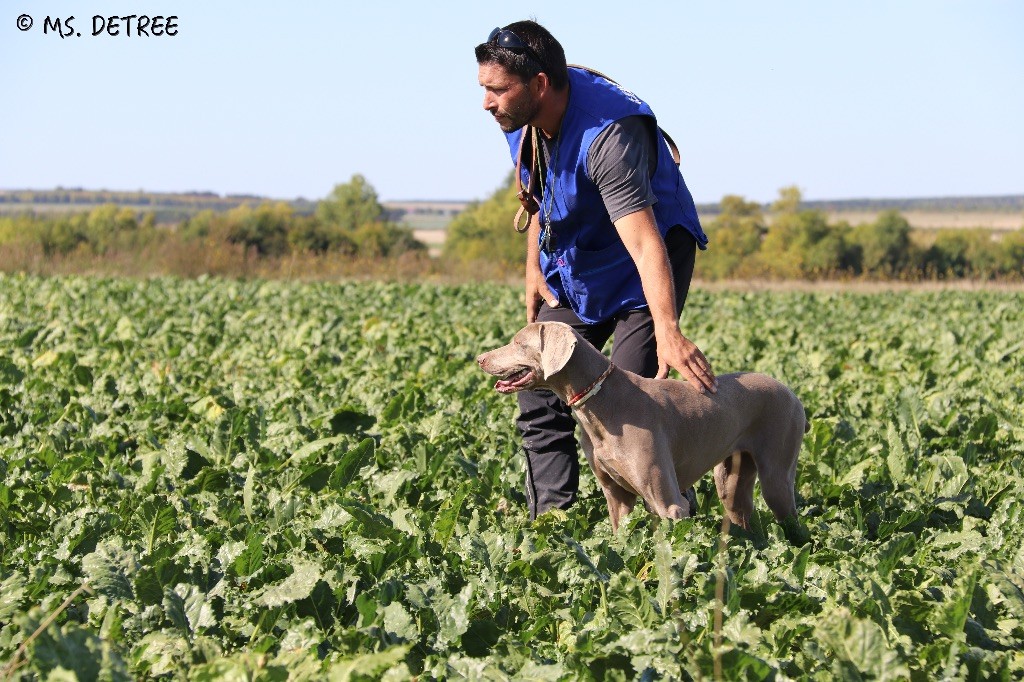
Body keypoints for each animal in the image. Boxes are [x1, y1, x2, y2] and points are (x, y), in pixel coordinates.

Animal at [479, 321, 806, 532]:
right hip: (730, 481)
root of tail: (791, 391)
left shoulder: (670, 504)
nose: (479, 358)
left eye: (519, 343)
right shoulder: (617, 498)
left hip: (776, 476)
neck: (601, 400)